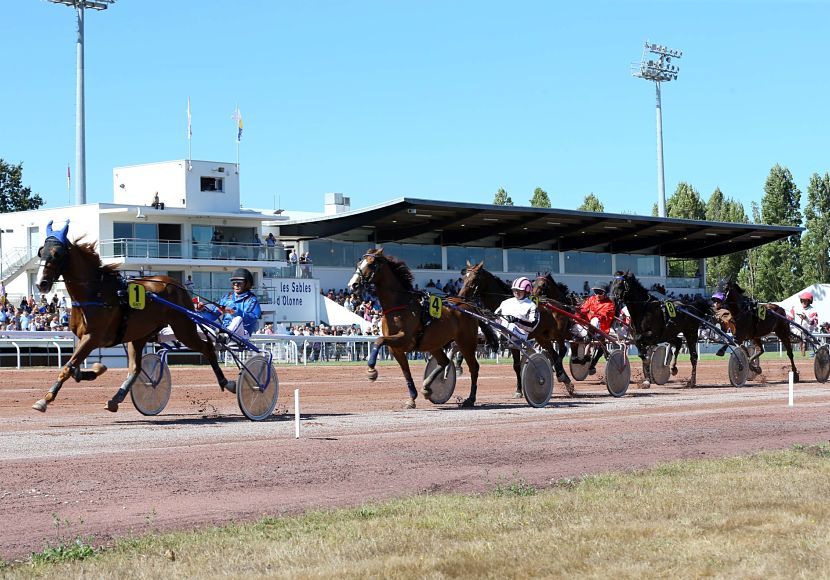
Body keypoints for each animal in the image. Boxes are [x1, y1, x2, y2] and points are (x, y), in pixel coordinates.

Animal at [32, 220, 234, 414]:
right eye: (41, 252)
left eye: (57, 253)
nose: (41, 283)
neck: (95, 292)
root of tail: (177, 285)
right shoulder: (82, 337)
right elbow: (74, 368)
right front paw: (96, 369)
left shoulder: (92, 338)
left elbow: (68, 367)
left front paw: (45, 399)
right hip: (139, 335)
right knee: (135, 368)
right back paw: (115, 399)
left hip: (183, 328)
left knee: (207, 347)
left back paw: (227, 383)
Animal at [348, 248, 480, 408]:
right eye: (359, 263)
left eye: (371, 264)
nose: (353, 285)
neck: (399, 305)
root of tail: (467, 305)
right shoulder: (396, 348)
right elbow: (406, 372)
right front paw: (411, 399)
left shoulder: (404, 338)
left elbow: (379, 340)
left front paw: (371, 369)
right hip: (434, 343)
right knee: (444, 362)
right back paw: (427, 387)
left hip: (466, 342)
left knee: (474, 367)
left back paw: (470, 398)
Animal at [456, 264, 580, 396]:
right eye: (463, 278)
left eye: (474, 279)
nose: (461, 297)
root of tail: (560, 306)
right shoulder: (500, 338)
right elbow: (516, 365)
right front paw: (519, 390)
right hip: (542, 337)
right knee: (554, 354)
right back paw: (566, 381)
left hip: (557, 333)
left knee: (562, 350)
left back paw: (562, 374)